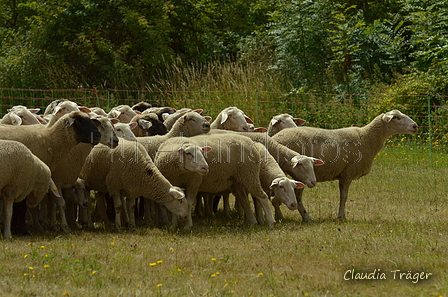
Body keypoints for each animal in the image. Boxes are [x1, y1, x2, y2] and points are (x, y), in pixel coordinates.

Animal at [272, 108, 418, 220]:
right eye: (397, 118)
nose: (415, 126)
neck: (367, 138)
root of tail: (274, 138)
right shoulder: (348, 173)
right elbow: (344, 197)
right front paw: (341, 217)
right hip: (301, 174)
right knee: (295, 197)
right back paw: (303, 218)